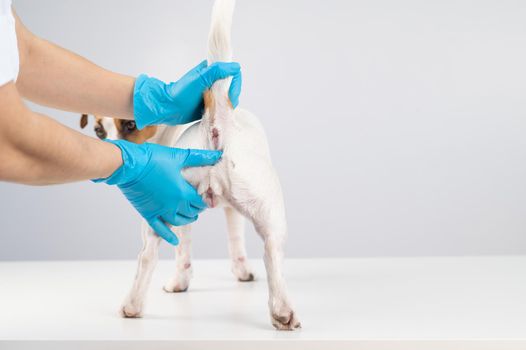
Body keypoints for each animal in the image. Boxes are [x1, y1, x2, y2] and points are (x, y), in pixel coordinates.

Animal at [80, 0, 300, 330]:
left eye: (131, 125)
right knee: (271, 255)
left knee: (148, 256)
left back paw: (134, 305)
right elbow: (233, 242)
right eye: (98, 131)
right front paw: (241, 271)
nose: (116, 152)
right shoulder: (223, 211)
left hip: (162, 211)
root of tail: (218, 119)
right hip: (265, 213)